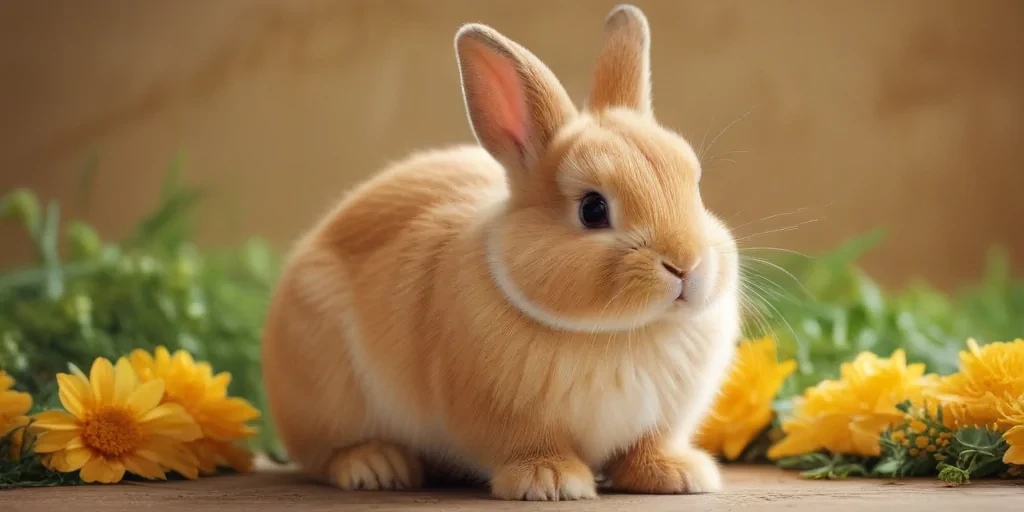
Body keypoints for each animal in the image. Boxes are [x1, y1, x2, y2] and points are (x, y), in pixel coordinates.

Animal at [261, 4, 740, 501]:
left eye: (694, 184)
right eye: (592, 209)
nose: (686, 265)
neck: (625, 331)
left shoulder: (659, 423)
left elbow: (648, 447)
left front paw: (680, 476)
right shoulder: (509, 420)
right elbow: (530, 447)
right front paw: (552, 482)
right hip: (325, 393)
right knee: (324, 455)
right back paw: (375, 466)